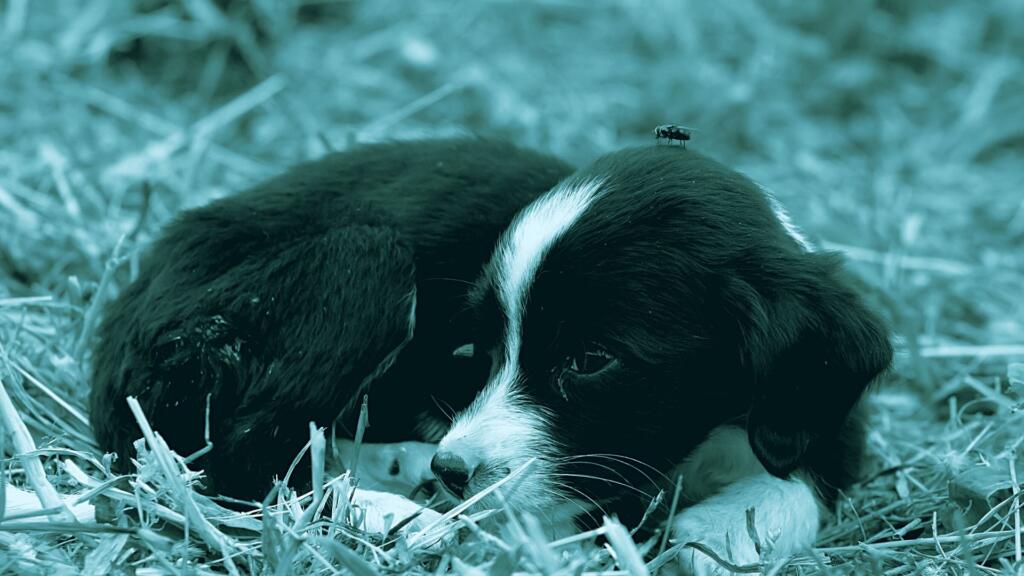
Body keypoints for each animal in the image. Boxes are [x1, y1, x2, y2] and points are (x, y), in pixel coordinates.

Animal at [428, 144, 892, 569]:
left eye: (590, 360)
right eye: (482, 349)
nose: (448, 469)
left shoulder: (824, 416)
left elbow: (803, 484)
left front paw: (722, 530)